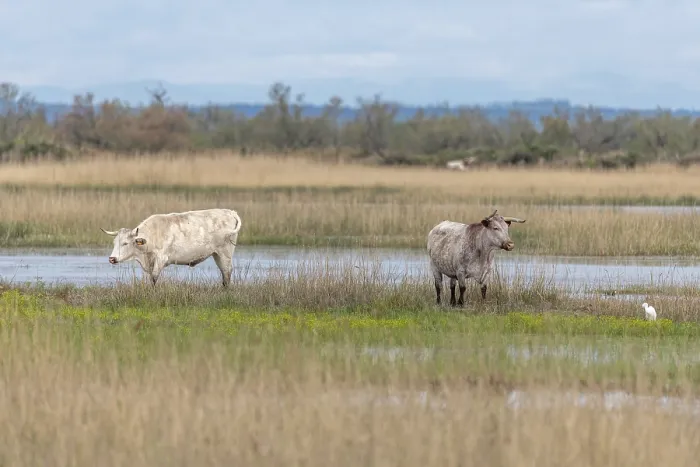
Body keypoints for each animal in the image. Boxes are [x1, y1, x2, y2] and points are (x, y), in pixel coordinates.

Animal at [101, 208, 243, 287]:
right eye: (115, 243)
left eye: (125, 243)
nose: (112, 259)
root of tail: (230, 212)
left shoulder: (161, 259)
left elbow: (154, 277)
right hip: (217, 254)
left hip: (225, 253)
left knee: (227, 273)